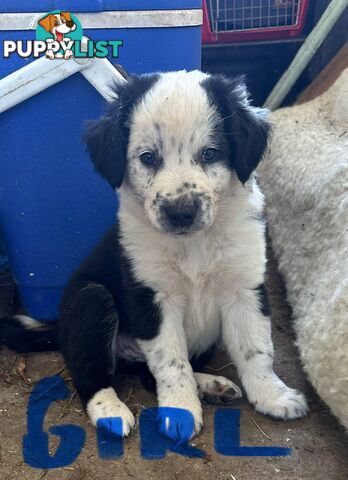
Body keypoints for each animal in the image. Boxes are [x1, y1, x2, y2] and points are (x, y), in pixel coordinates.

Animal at [2, 69, 308, 440]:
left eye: (210, 153)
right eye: (148, 157)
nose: (181, 212)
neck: (194, 243)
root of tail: (58, 327)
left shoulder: (244, 288)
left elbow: (257, 349)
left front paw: (272, 395)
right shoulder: (152, 297)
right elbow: (170, 361)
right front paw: (180, 411)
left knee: (149, 375)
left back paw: (211, 385)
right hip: (90, 300)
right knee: (91, 374)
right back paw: (110, 410)